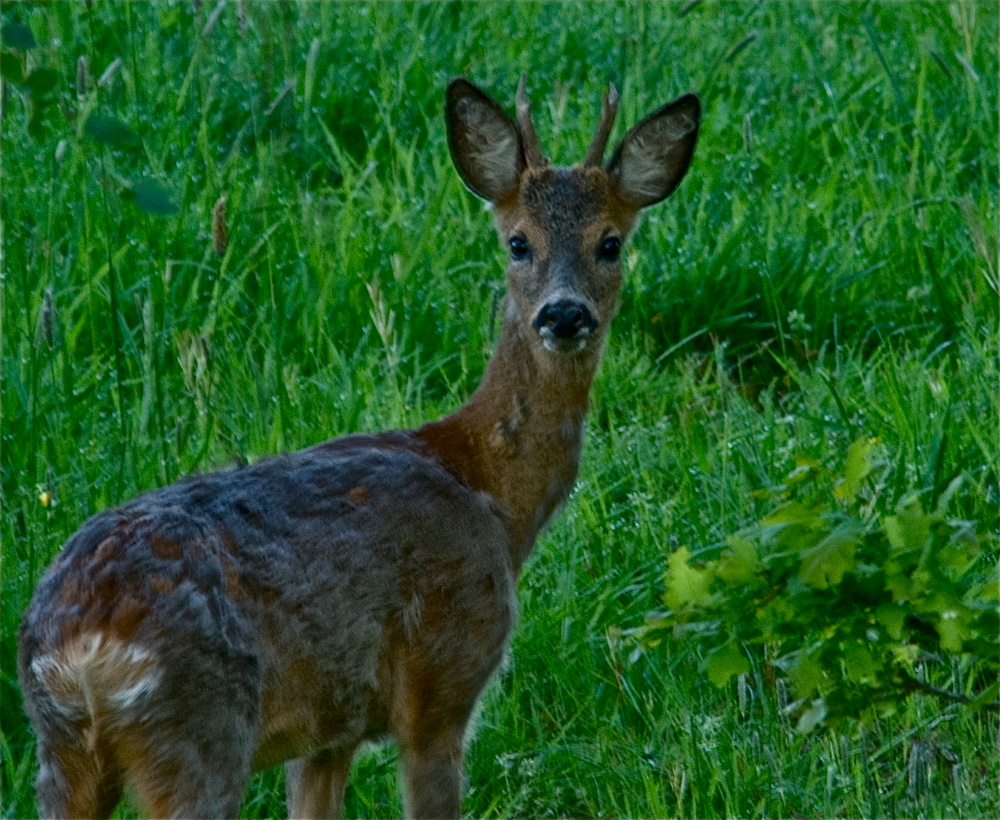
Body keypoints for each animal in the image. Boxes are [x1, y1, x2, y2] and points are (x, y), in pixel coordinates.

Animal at [19, 78, 700, 820]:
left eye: (610, 243)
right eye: (519, 242)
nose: (565, 314)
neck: (487, 489)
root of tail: (83, 646)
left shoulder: (329, 729)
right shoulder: (442, 680)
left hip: (64, 753)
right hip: (200, 731)